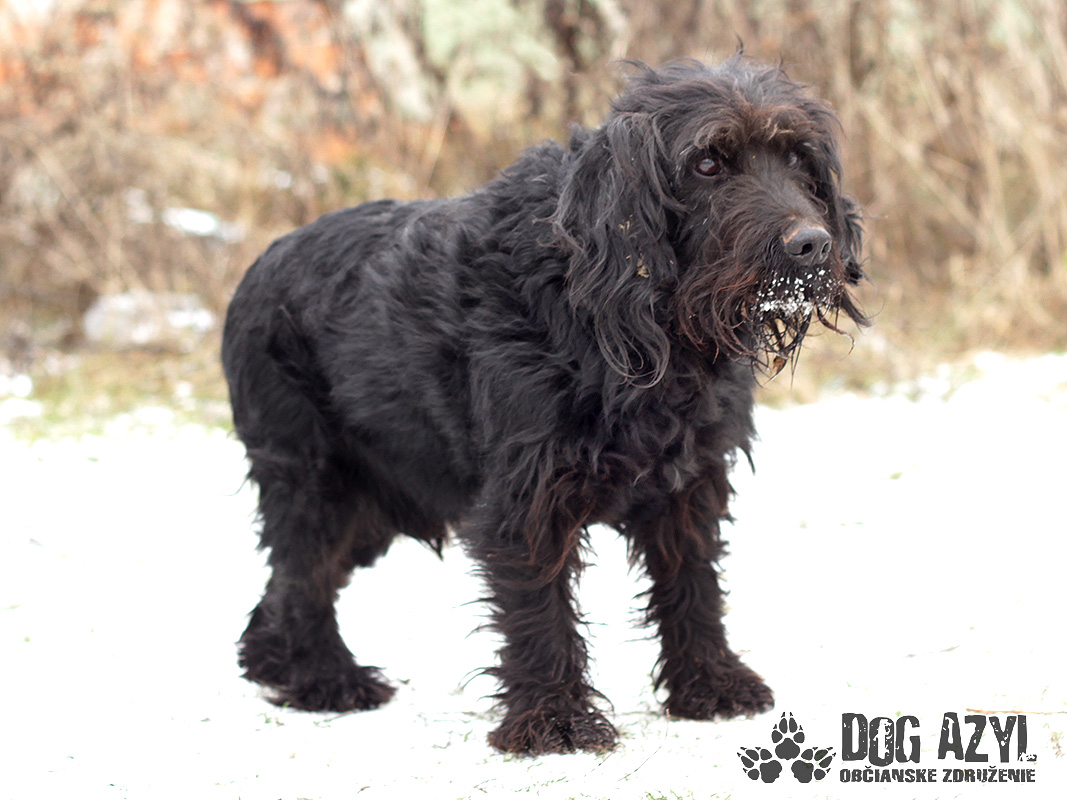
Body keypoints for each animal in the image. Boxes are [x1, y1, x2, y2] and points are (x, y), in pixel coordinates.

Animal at [222, 54, 867, 755]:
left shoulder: (690, 485)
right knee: (302, 579)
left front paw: (711, 686)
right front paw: (554, 721)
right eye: (707, 163)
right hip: (318, 484)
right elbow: (538, 610)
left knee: (281, 589)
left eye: (799, 157)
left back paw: (281, 666)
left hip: (374, 502)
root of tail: (255, 268)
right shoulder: (525, 497)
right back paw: (325, 680)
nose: (812, 245)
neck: (628, 320)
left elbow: (692, 585)